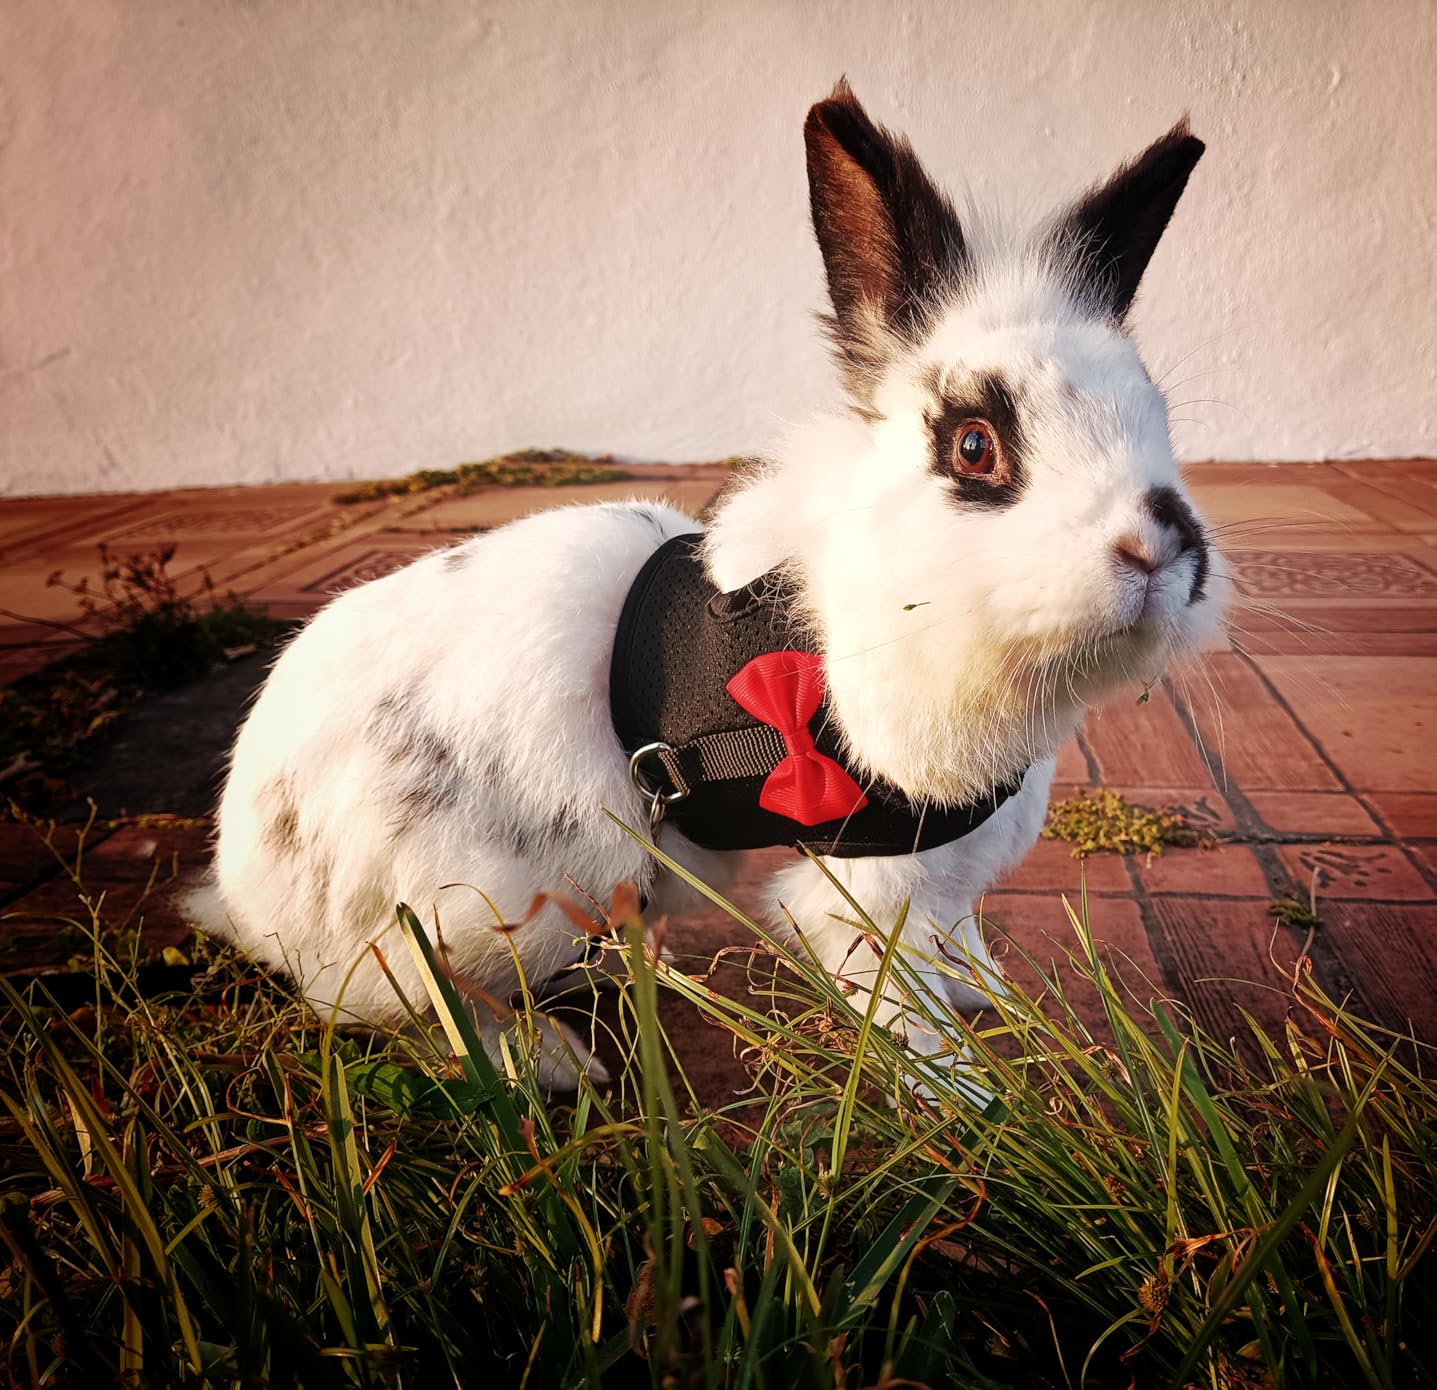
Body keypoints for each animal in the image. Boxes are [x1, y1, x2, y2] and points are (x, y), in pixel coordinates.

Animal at [190, 80, 1227, 1093]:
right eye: (974, 446)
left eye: (1158, 417)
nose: (1155, 549)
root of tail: (245, 880)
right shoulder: (863, 889)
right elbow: (907, 1016)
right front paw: (970, 1101)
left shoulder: (951, 877)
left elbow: (957, 945)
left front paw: (996, 997)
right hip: (489, 913)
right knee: (417, 1009)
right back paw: (549, 1059)